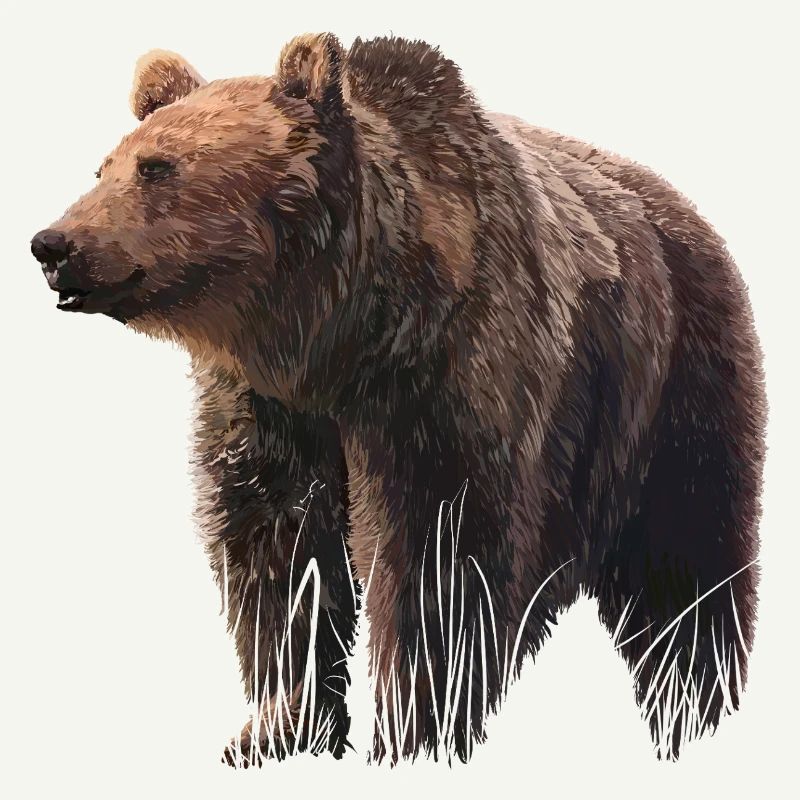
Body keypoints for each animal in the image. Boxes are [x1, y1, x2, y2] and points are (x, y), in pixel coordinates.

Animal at [31, 33, 766, 766]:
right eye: (102, 169)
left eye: (158, 168)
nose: (52, 245)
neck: (334, 338)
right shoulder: (269, 413)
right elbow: (280, 548)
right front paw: (278, 725)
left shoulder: (448, 382)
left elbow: (439, 552)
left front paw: (416, 728)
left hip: (676, 387)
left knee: (686, 568)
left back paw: (691, 706)